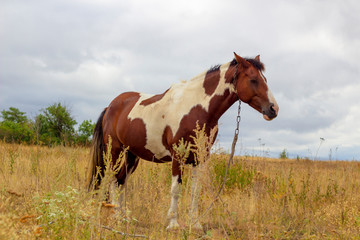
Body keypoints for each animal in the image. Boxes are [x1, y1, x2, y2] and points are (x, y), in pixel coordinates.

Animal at [86, 52, 278, 229]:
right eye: (253, 79)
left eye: (265, 79)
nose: (273, 109)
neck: (196, 108)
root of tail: (110, 106)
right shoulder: (177, 156)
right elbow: (175, 190)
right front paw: (173, 224)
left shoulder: (200, 159)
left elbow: (195, 191)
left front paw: (195, 223)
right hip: (114, 151)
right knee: (112, 179)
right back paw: (116, 216)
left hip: (131, 155)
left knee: (121, 181)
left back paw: (124, 217)